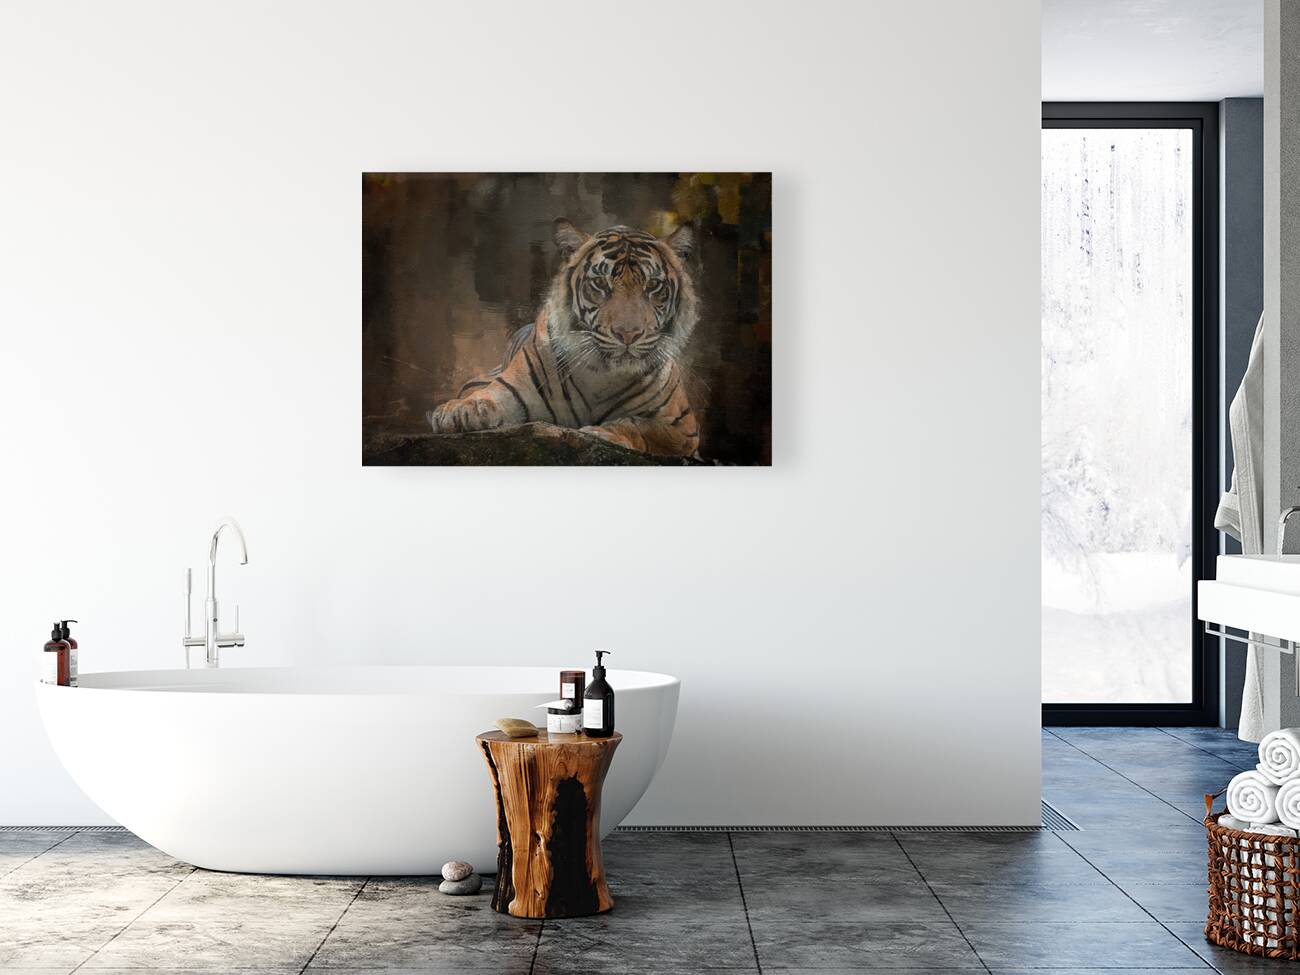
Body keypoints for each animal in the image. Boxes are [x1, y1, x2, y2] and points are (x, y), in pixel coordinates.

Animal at [426, 218, 701, 458]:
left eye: (653, 285)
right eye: (600, 283)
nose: (628, 333)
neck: (602, 376)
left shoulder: (683, 427)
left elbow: (638, 425)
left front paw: (603, 433)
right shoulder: (512, 388)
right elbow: (487, 396)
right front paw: (458, 411)